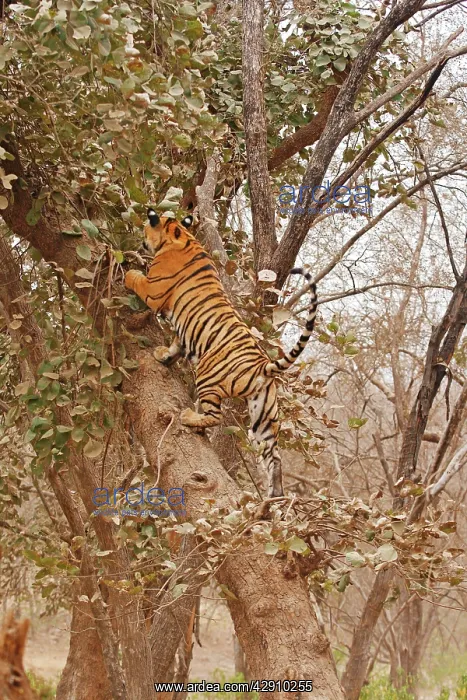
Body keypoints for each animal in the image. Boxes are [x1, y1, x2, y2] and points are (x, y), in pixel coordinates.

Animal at [125, 209, 318, 498]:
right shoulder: (185, 330)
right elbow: (176, 345)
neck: (181, 236)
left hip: (207, 377)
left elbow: (138, 280)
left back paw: (189, 417)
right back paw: (274, 496)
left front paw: (127, 271)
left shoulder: (154, 290)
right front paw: (163, 355)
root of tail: (263, 365)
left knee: (214, 417)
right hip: (264, 416)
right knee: (274, 456)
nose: (140, 241)